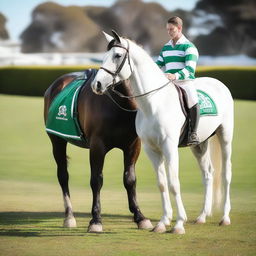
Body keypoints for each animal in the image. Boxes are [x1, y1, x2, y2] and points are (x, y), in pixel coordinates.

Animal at [43, 68, 152, 232]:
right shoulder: (97, 147)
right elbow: (96, 180)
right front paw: (95, 220)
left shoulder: (133, 146)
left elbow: (130, 179)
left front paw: (140, 216)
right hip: (57, 140)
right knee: (63, 176)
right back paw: (69, 216)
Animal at [91, 31, 233, 235]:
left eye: (117, 55)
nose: (97, 84)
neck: (154, 103)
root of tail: (219, 84)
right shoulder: (151, 149)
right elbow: (162, 183)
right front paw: (163, 222)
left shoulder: (169, 147)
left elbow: (174, 183)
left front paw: (179, 223)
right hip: (200, 144)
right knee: (208, 174)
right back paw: (201, 217)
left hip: (225, 136)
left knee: (226, 174)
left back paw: (225, 218)